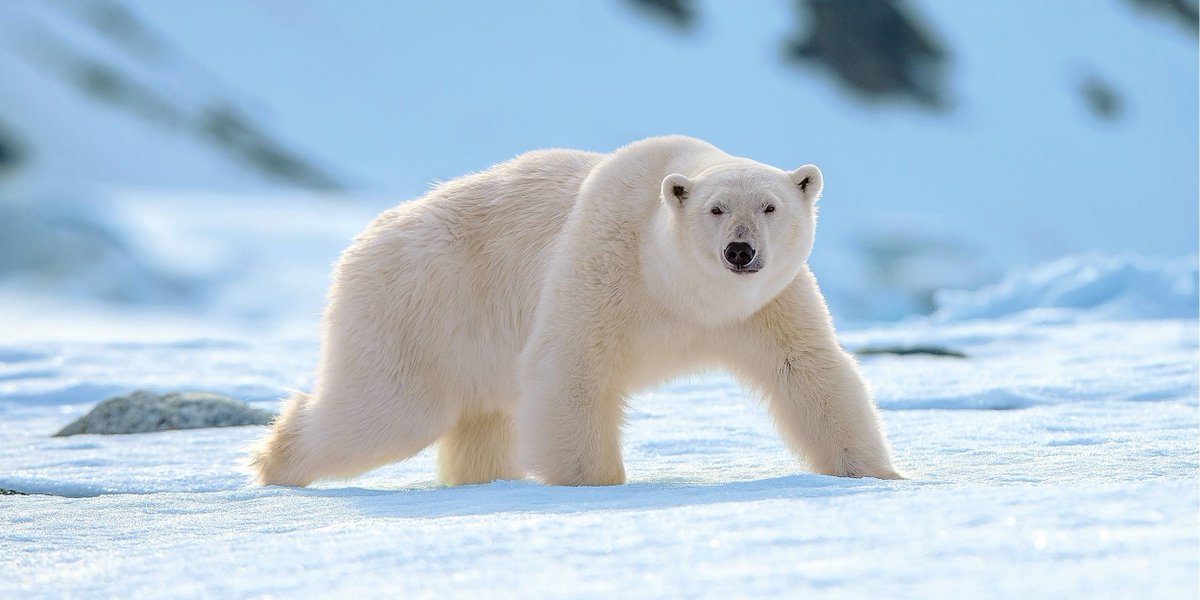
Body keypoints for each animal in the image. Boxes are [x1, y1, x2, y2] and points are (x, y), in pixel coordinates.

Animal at [249, 135, 902, 487]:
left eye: (770, 206)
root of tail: (362, 242)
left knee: (481, 420)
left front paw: (878, 474)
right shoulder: (605, 263)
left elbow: (808, 370)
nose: (740, 252)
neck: (680, 291)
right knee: (387, 410)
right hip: (418, 309)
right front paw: (594, 483)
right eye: (715, 209)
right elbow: (572, 366)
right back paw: (274, 462)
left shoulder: (766, 305)